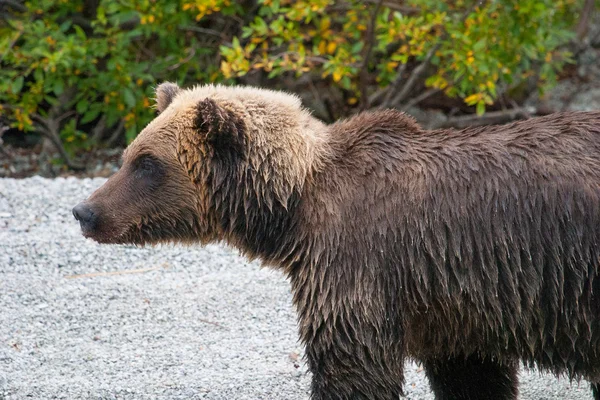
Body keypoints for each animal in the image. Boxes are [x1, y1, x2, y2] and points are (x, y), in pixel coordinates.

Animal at [74, 82, 600, 400]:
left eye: (147, 163)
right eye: (129, 154)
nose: (85, 211)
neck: (294, 207)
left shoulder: (360, 264)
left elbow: (352, 365)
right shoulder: (453, 301)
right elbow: (472, 374)